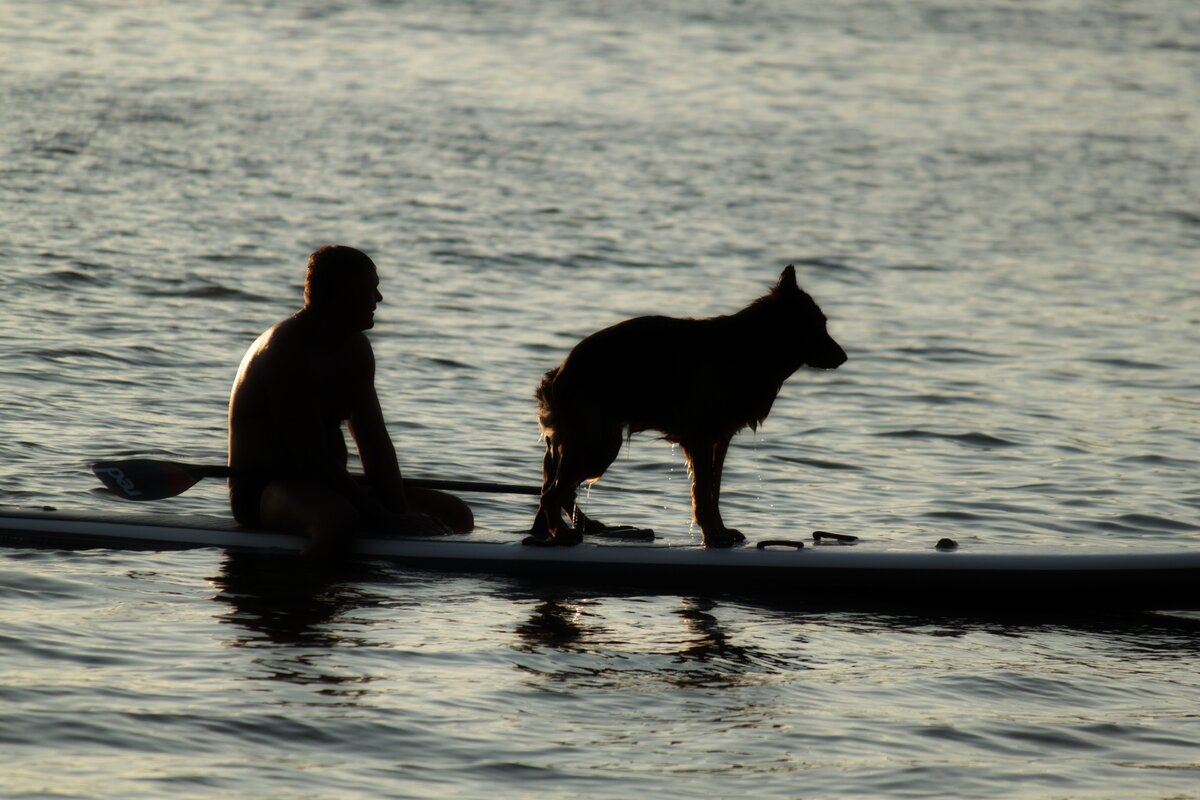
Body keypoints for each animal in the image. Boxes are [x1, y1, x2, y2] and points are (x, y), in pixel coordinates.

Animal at [527, 265, 847, 548]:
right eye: (818, 327)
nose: (844, 357)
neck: (751, 348)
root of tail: (559, 372)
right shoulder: (701, 439)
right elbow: (704, 493)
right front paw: (713, 536)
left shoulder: (719, 440)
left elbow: (714, 490)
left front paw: (720, 531)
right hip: (598, 446)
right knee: (552, 493)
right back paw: (563, 533)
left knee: (556, 489)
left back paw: (571, 529)